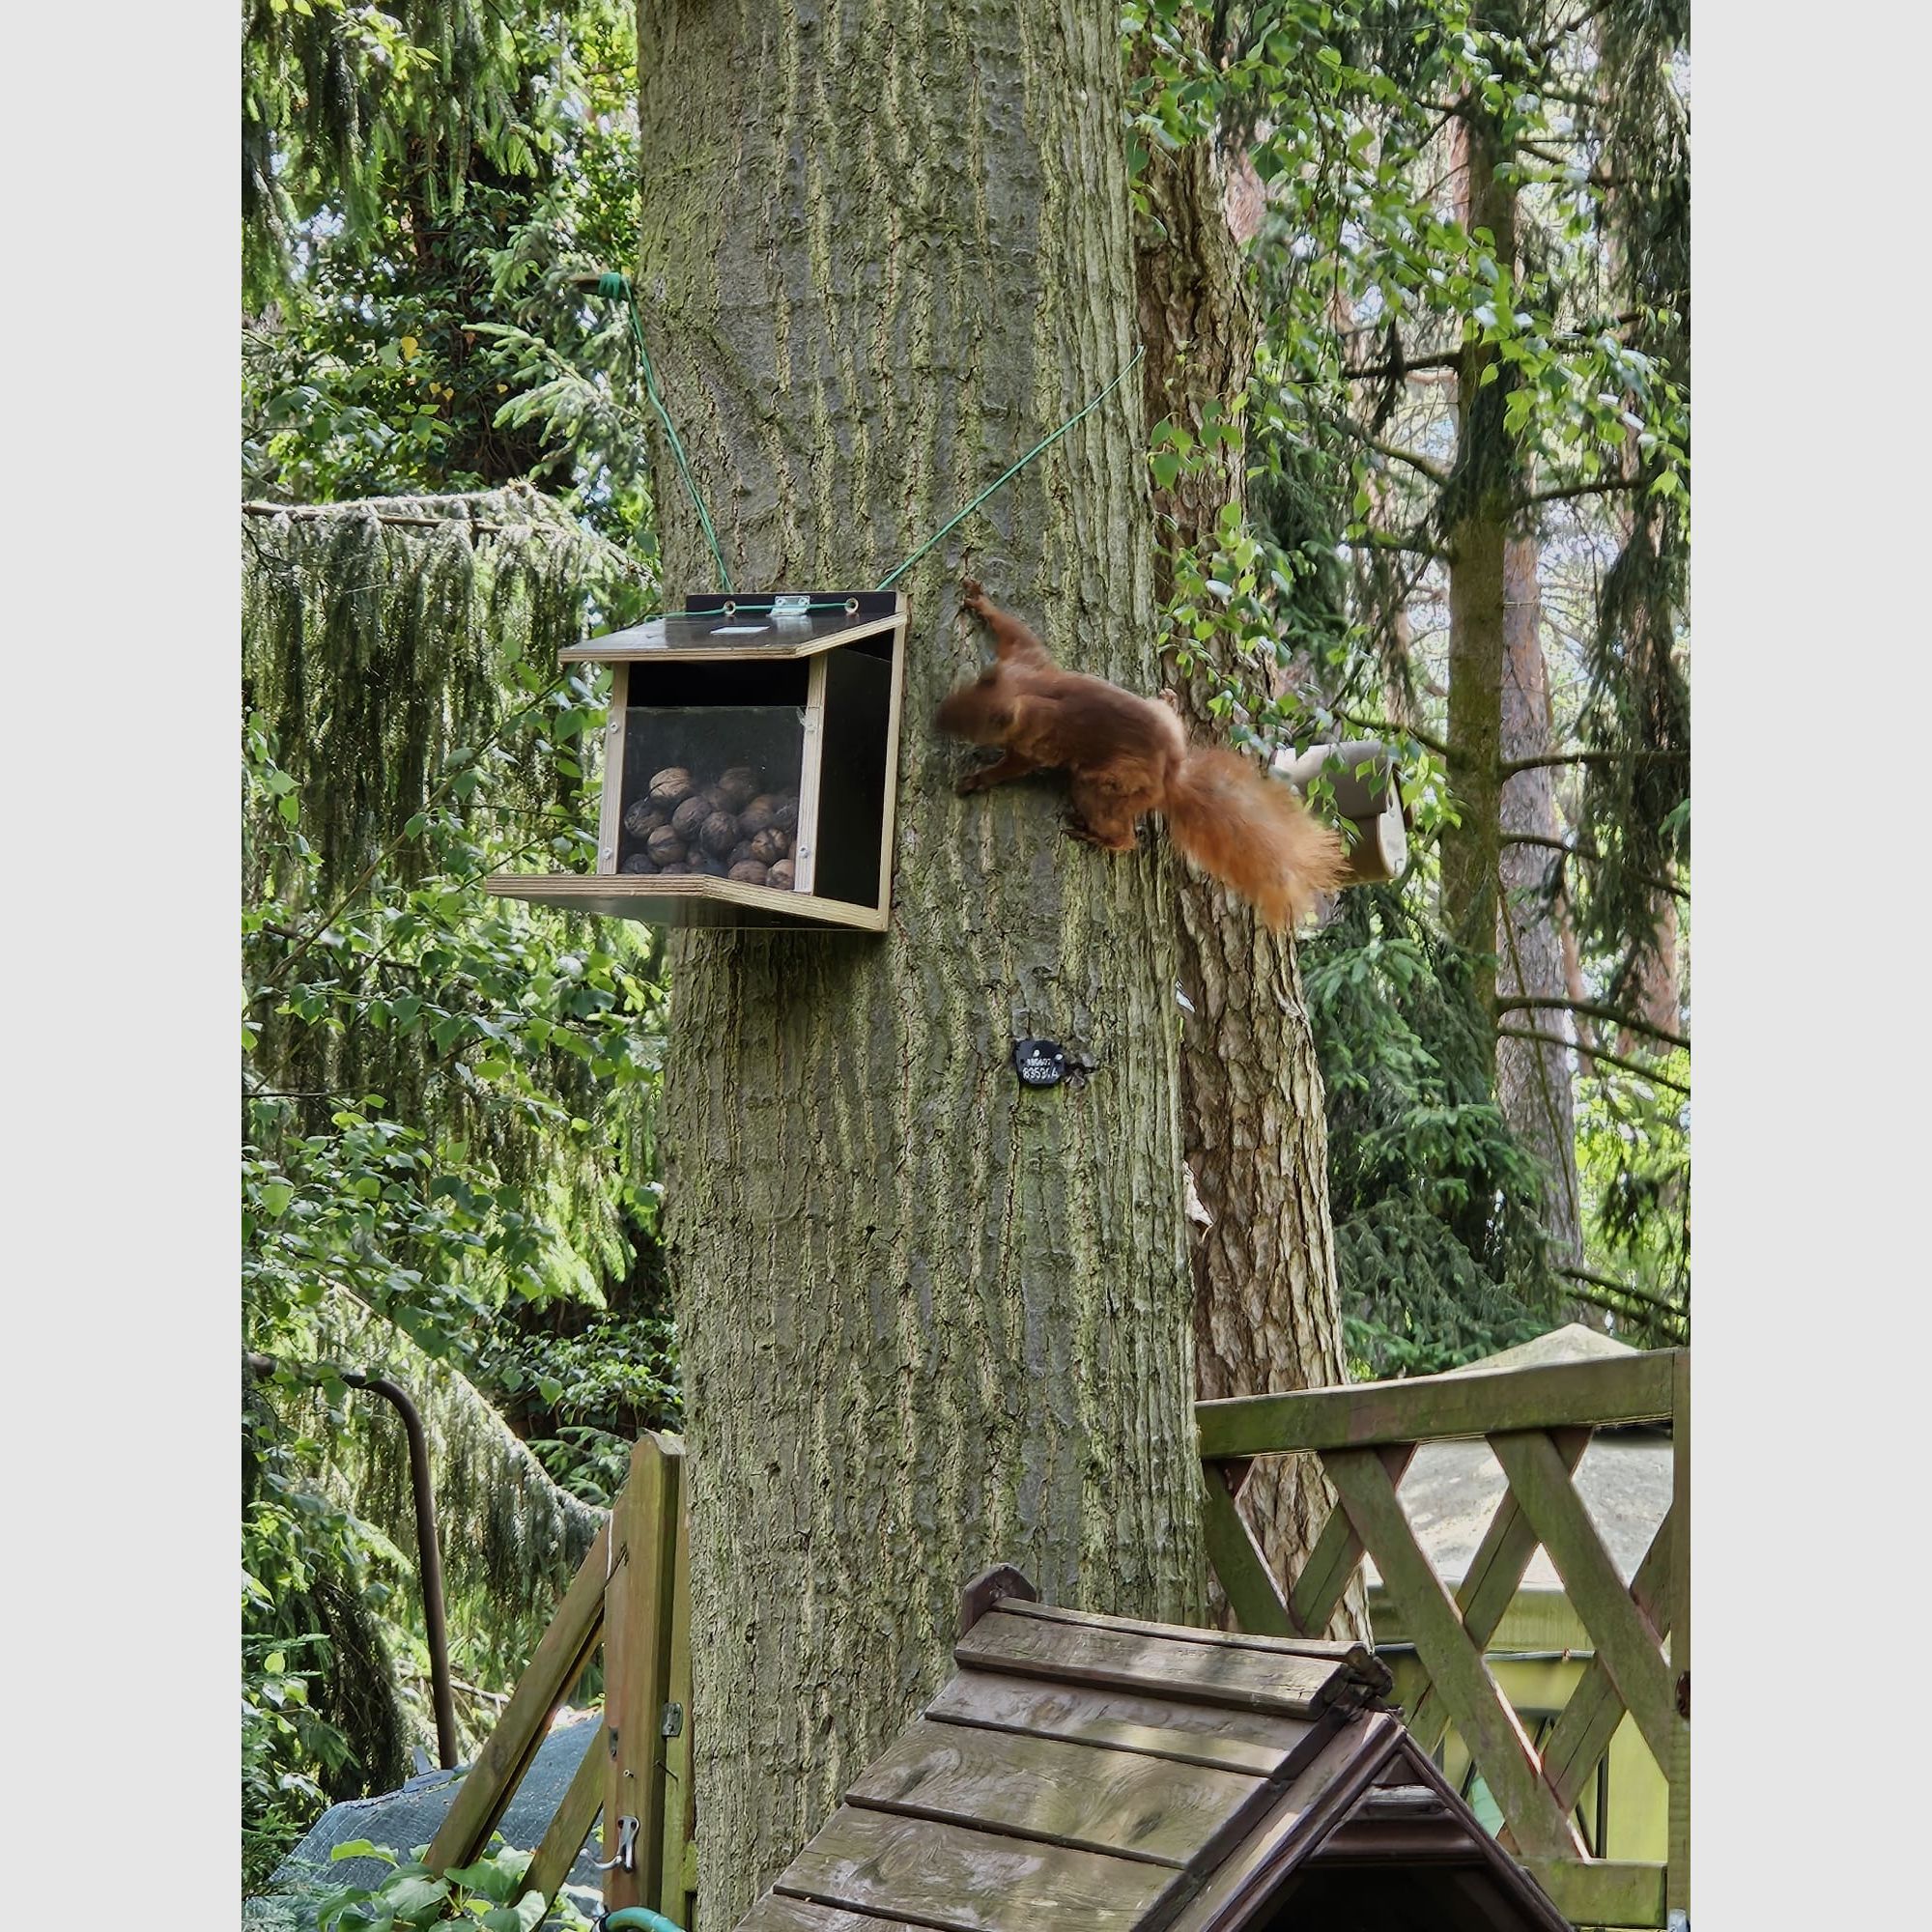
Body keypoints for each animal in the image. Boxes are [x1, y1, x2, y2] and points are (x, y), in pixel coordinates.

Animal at [936, 578, 1347, 929]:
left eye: (974, 725)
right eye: (961, 691)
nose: (937, 718)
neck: (1026, 689)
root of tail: (1171, 777)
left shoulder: (1035, 739)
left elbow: (1013, 766)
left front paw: (975, 780)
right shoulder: (1026, 658)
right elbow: (1015, 630)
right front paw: (979, 601)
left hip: (1101, 786)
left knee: (1125, 837)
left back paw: (1098, 837)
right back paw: (1169, 698)